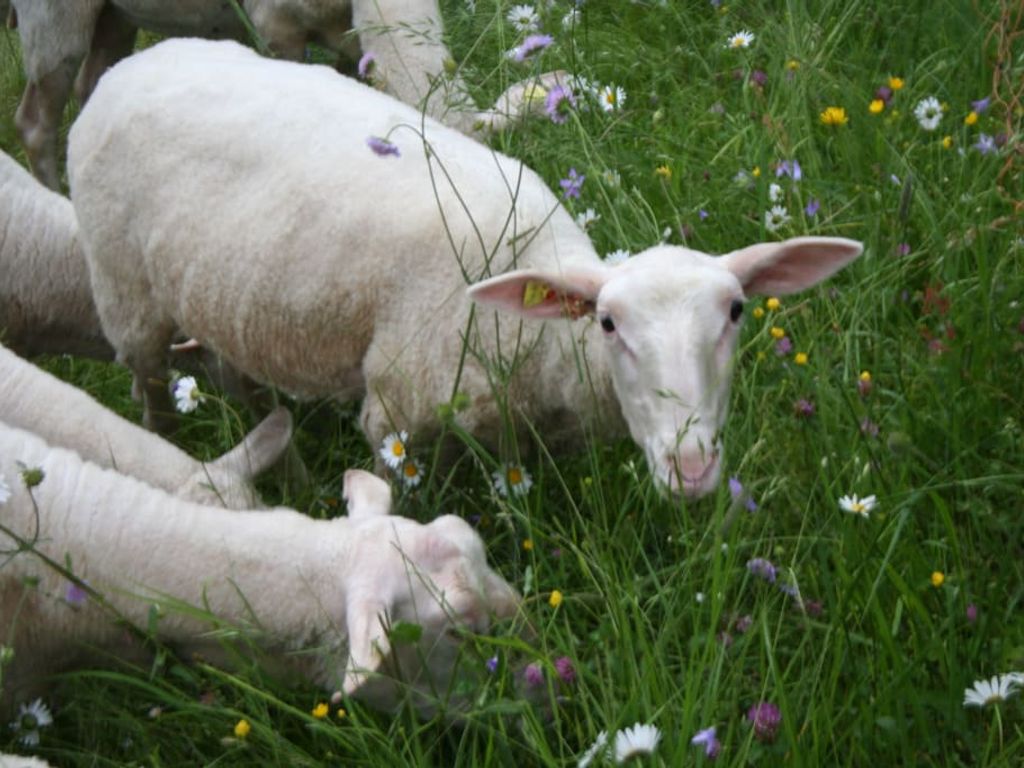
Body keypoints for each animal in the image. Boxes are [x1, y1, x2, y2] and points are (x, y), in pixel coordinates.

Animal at [9, 0, 562, 189]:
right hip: (54, 19)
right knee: (35, 120)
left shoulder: (349, 40)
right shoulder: (277, 29)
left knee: (93, 83)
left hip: (114, 14)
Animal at [68, 39, 863, 498]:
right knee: (147, 380)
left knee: (236, 370)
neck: (547, 341)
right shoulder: (395, 409)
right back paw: (162, 435)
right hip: (124, 290)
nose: (691, 470)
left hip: (225, 290)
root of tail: (130, 64)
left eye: (735, 313)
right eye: (609, 324)